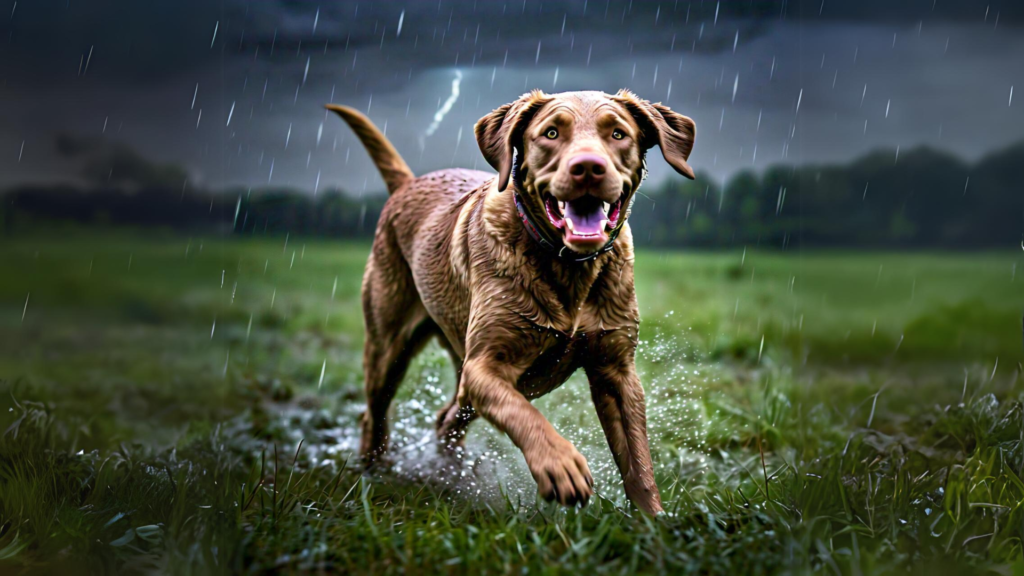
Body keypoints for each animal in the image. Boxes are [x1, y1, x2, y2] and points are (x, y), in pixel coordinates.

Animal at [327, 87, 696, 508]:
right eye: (551, 133)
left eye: (618, 134)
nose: (588, 167)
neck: (569, 266)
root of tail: (408, 183)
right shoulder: (485, 366)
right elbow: (522, 414)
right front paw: (560, 465)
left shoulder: (616, 370)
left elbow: (637, 461)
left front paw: (653, 520)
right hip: (389, 343)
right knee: (376, 410)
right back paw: (374, 471)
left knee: (447, 419)